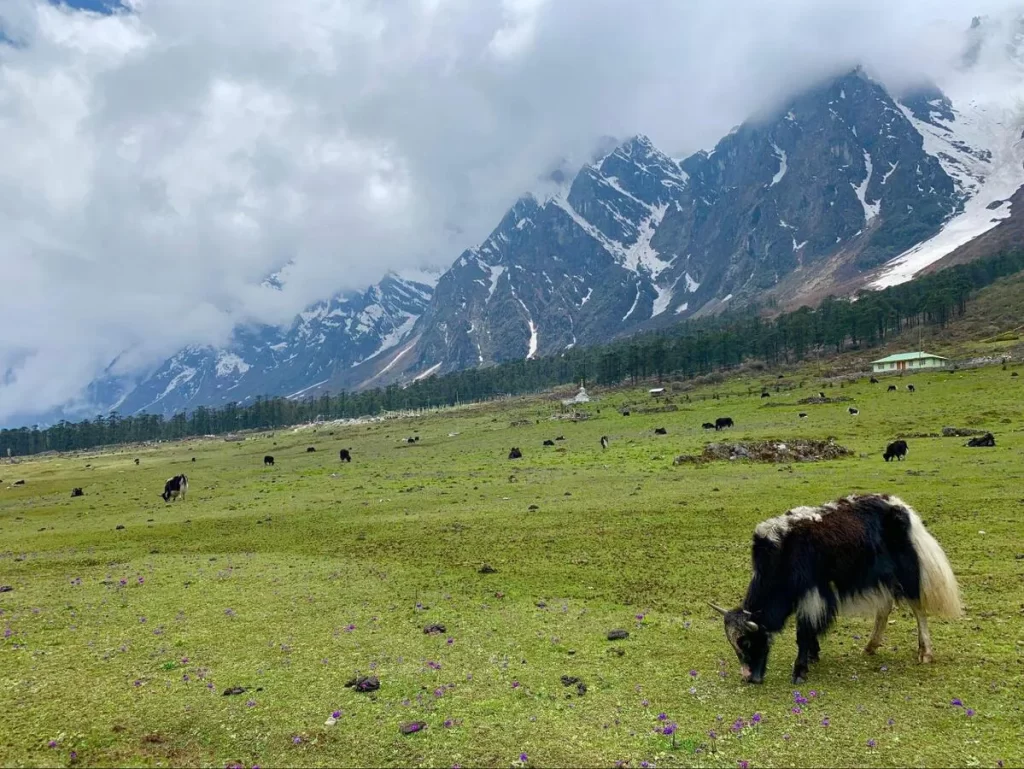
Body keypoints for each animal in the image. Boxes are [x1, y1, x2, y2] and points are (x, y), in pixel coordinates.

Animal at [712, 495, 958, 684]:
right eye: (734, 644)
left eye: (746, 641)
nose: (749, 678)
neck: (782, 554)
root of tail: (902, 508)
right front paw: (813, 654)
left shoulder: (812, 592)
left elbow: (803, 630)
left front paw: (800, 670)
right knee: (884, 608)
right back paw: (870, 647)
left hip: (905, 572)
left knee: (918, 608)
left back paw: (925, 653)